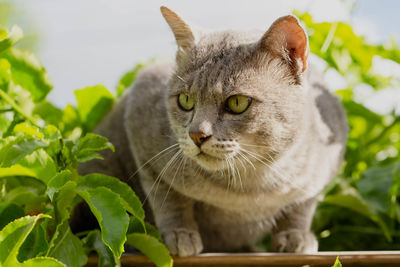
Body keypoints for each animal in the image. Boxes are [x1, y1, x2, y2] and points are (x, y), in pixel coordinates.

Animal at [72, 6, 346, 256]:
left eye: (237, 103)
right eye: (185, 100)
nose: (197, 135)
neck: (249, 189)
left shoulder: (325, 164)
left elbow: (302, 205)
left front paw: (295, 236)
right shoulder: (143, 138)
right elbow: (168, 197)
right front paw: (181, 234)